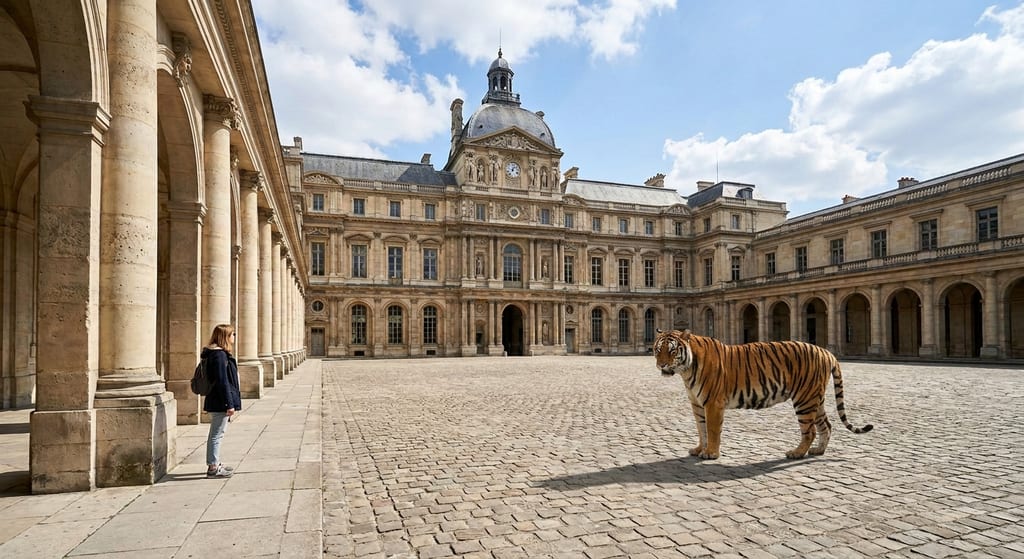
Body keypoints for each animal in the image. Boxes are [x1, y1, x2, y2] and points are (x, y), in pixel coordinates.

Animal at [653, 328, 873, 460]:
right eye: (657, 350)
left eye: (672, 351)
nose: (661, 365)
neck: (686, 371)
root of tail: (826, 352)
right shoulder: (697, 404)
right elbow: (702, 429)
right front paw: (699, 449)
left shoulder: (713, 403)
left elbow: (713, 430)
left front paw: (711, 454)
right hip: (815, 399)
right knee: (826, 425)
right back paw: (818, 451)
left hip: (804, 399)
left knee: (809, 431)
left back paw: (796, 453)